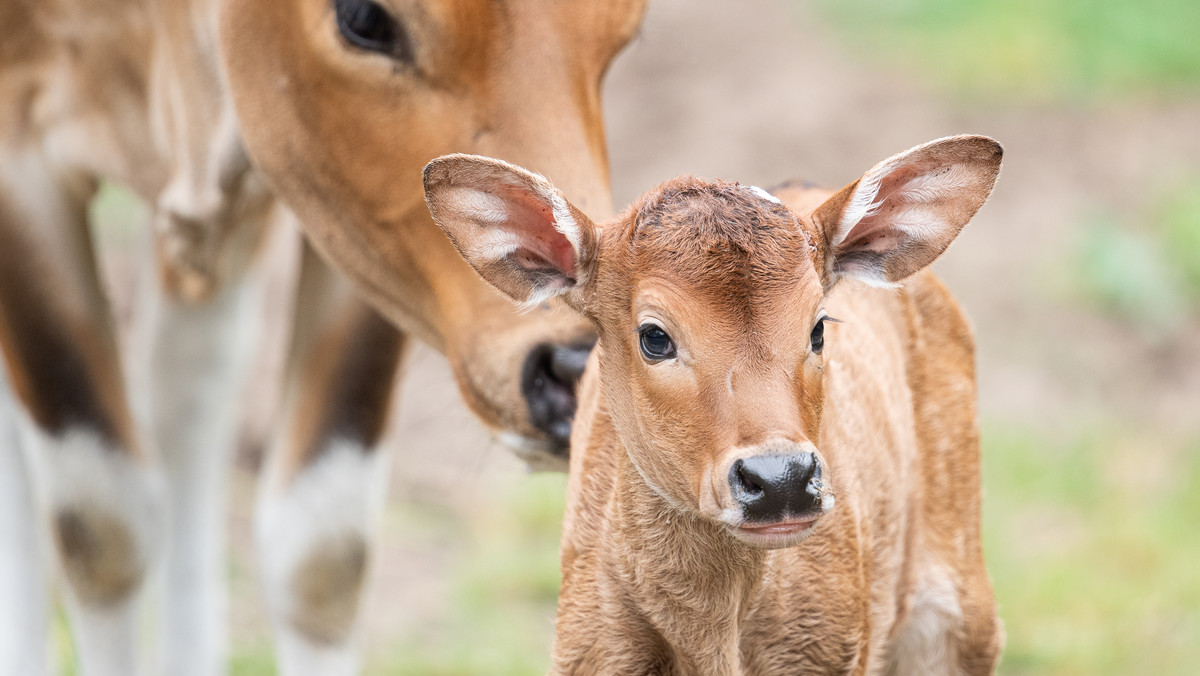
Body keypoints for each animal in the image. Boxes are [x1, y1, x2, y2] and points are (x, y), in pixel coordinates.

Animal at [0, 0, 648, 672]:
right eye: (364, 17)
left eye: (623, 32)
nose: (575, 371)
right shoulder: (17, 157)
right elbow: (102, 524)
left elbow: (322, 549)